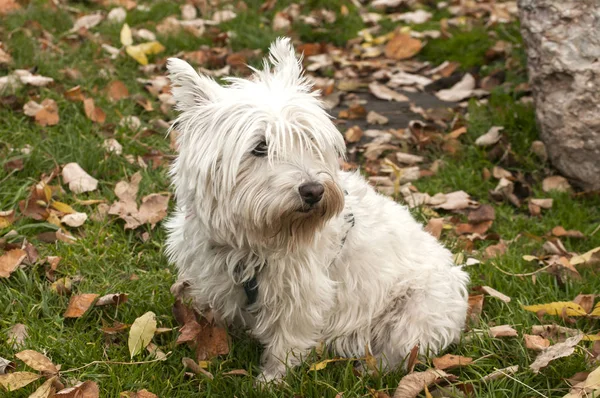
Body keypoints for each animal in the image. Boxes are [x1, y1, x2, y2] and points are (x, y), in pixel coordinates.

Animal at [164, 38, 468, 382]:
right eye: (260, 147)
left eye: (309, 140)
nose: (314, 191)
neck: (254, 239)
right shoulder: (217, 278)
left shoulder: (301, 295)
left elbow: (286, 344)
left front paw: (270, 381)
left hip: (416, 308)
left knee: (402, 351)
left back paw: (370, 367)